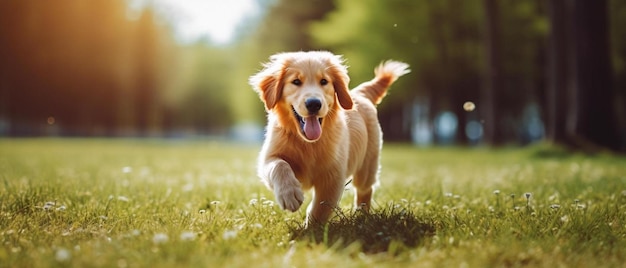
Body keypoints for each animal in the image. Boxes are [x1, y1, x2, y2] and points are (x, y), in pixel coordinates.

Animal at [249, 51, 410, 223]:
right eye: (296, 81)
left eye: (324, 81)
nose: (314, 103)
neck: (308, 143)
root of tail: (358, 93)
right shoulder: (269, 157)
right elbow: (279, 165)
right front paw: (289, 194)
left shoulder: (333, 176)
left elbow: (320, 208)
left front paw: (311, 228)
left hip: (368, 164)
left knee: (365, 189)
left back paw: (362, 216)